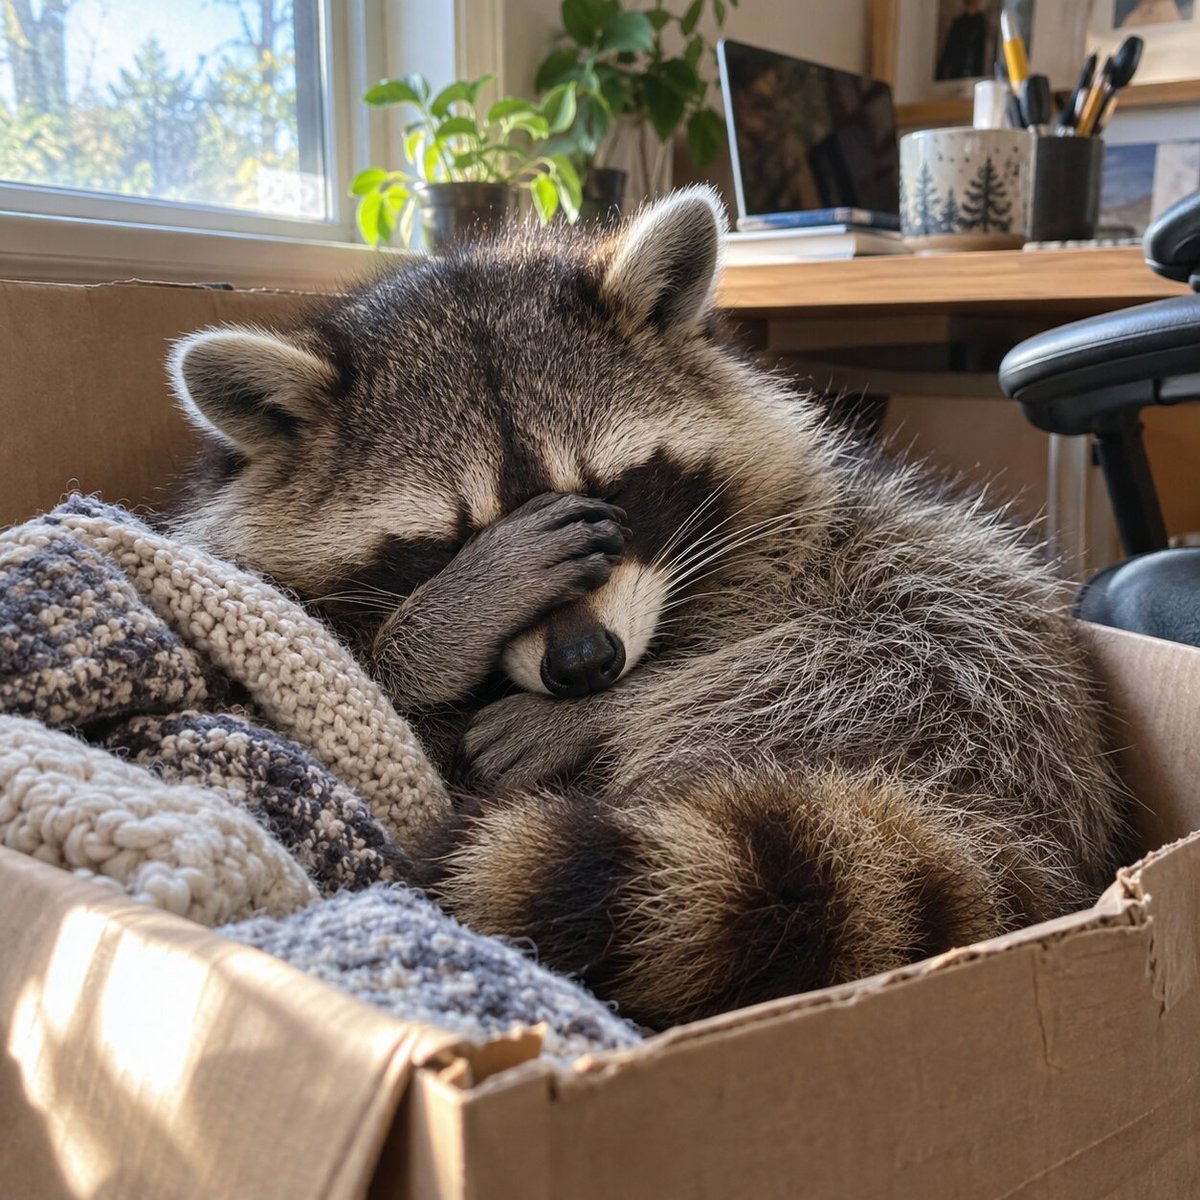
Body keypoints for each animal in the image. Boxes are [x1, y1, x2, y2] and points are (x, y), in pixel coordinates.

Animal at [167, 188, 1127, 1030]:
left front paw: (595, 711)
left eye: (616, 494)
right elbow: (334, 662)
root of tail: (998, 830)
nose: (587, 669)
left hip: (943, 670)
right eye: (447, 543)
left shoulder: (797, 530)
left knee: (880, 635)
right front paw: (440, 625)